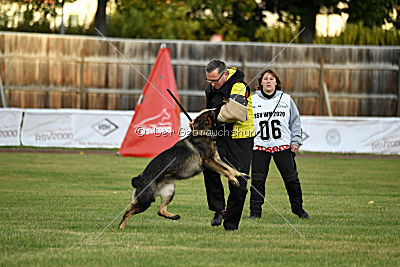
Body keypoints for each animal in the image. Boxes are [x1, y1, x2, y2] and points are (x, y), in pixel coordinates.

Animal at [118, 109, 247, 230]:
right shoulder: (209, 161)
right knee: (127, 213)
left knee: (160, 211)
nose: (221, 106)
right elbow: (225, 170)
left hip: (169, 191)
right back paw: (121, 227)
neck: (203, 132)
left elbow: (229, 167)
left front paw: (241, 174)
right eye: (214, 112)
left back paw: (174, 216)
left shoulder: (216, 159)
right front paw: (234, 180)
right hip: (145, 201)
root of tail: (139, 179)